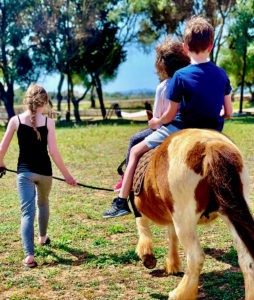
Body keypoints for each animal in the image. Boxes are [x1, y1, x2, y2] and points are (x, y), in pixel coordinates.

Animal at [133, 128, 254, 300]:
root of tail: (211, 146)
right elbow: (171, 236)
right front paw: (172, 264)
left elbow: (142, 226)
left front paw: (147, 255)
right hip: (232, 212)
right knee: (247, 260)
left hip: (184, 219)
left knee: (196, 258)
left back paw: (179, 293)